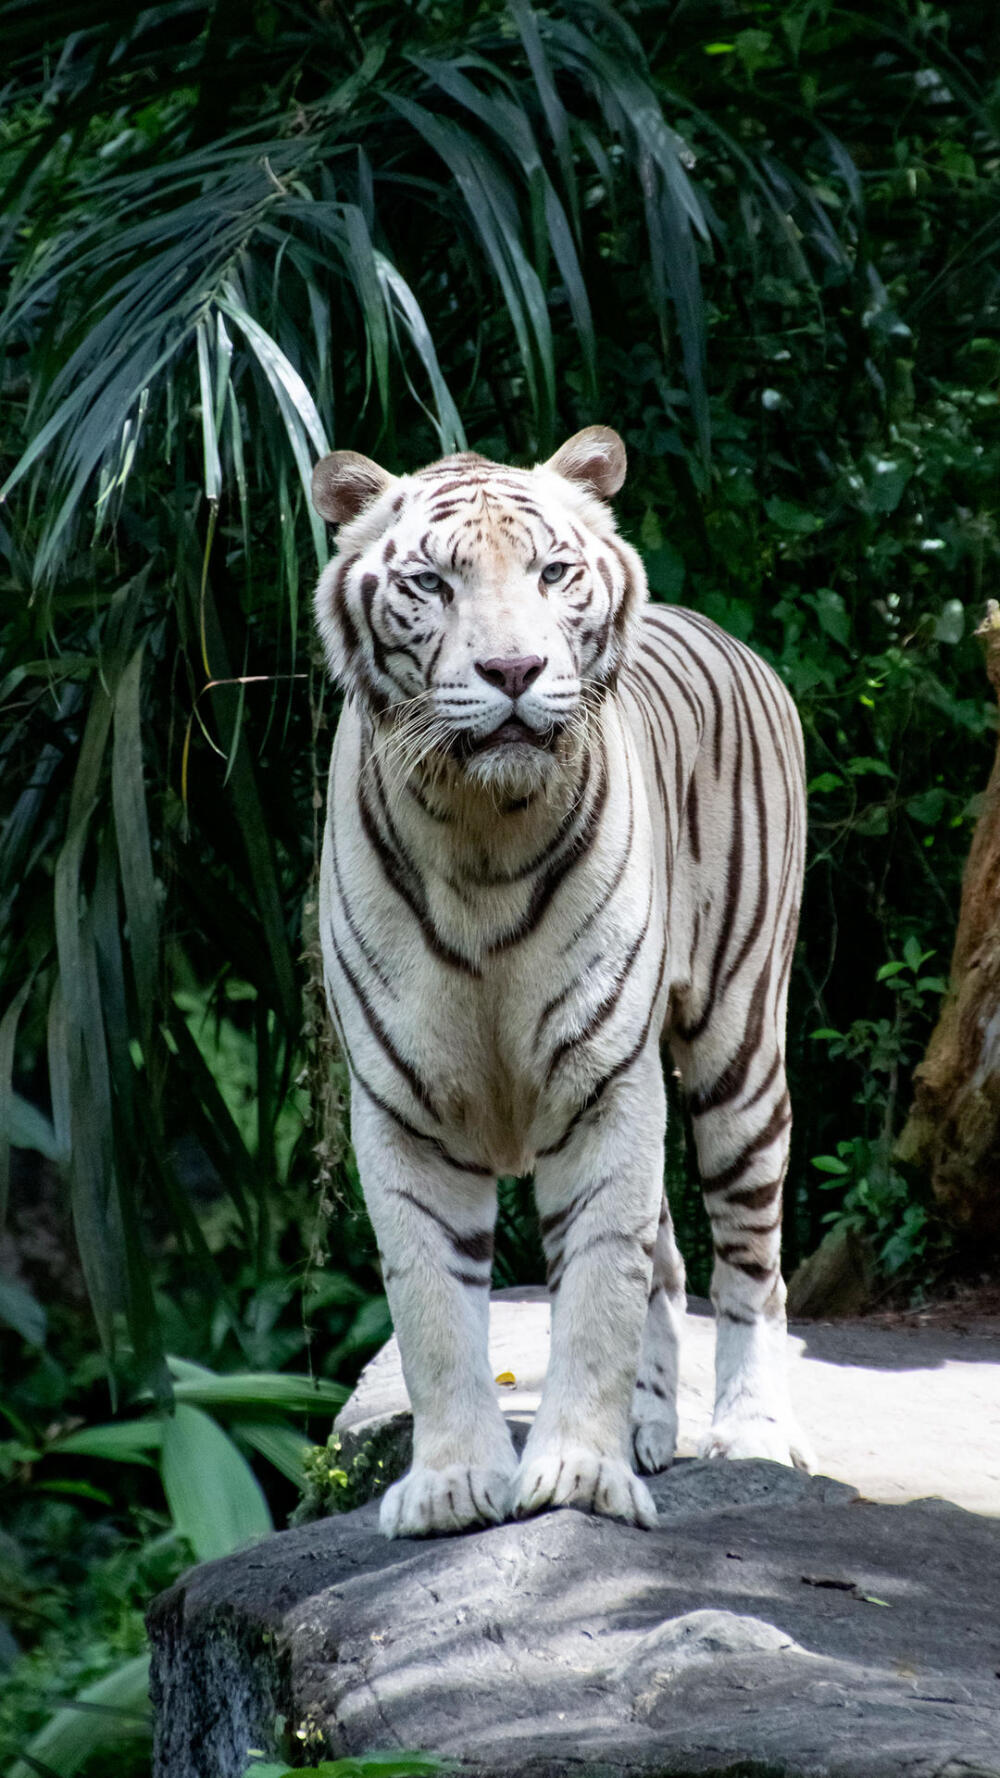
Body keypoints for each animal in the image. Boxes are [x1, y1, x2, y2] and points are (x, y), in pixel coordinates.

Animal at [311, 423, 811, 1536]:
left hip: (739, 1052)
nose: (512, 668)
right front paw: (453, 1483)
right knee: (670, 1258)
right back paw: (653, 1426)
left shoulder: (605, 1084)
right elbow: (433, 1308)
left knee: (750, 1264)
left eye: (551, 572)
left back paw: (754, 1431)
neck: (478, 831)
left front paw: (579, 1473)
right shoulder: (401, 1104)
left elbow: (594, 1291)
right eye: (431, 582)